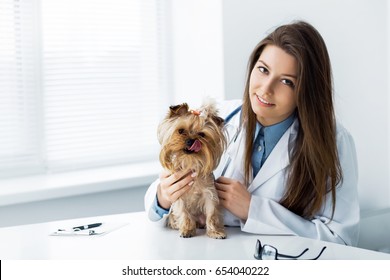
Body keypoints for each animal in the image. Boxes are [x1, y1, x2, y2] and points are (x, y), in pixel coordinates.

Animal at [158, 100, 227, 238]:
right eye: (181, 131)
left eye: (201, 134)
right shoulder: (178, 195)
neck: (189, 162)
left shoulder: (209, 194)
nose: (191, 140)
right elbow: (183, 213)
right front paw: (187, 230)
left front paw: (215, 232)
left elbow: (211, 214)